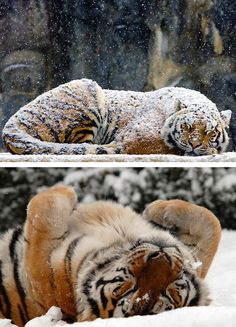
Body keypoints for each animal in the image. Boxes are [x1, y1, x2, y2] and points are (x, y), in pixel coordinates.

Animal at [0, 186, 221, 326]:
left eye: (167, 292)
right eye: (130, 287)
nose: (160, 254)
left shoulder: (40, 267)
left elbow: (43, 211)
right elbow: (212, 223)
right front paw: (158, 208)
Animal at [2, 79, 232, 156]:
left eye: (210, 132)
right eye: (186, 127)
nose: (194, 144)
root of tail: (11, 123)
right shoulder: (135, 139)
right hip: (87, 91)